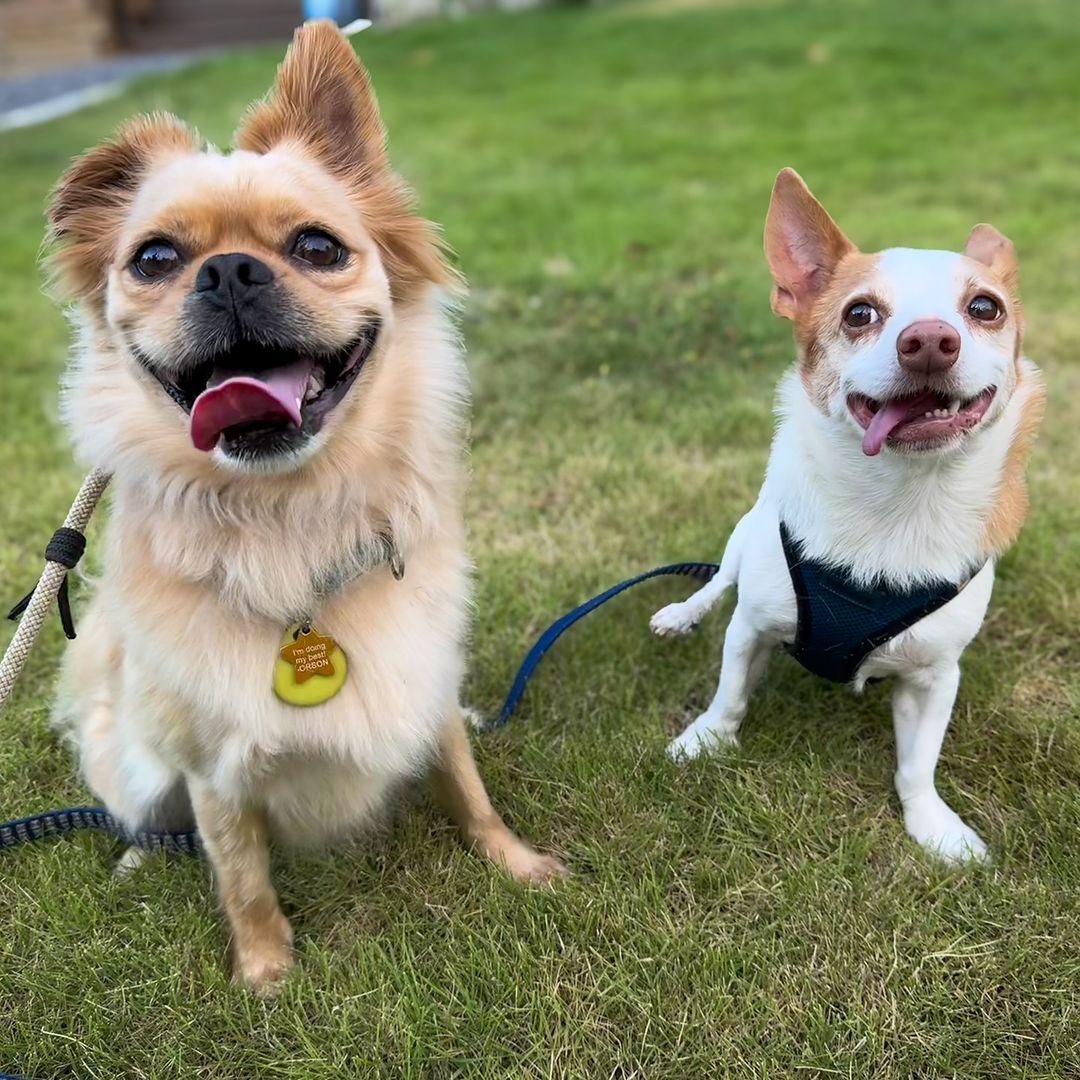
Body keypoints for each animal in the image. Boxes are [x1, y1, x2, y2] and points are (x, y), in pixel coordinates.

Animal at [46, 19, 565, 993]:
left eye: (319, 247)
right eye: (154, 260)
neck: (293, 516)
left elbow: (468, 786)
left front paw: (514, 863)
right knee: (139, 808)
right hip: (136, 761)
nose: (228, 272)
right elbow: (241, 873)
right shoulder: (213, 770)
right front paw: (267, 971)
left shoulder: (424, 679)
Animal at [652, 168, 1041, 859]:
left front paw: (932, 824)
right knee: (717, 581)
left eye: (984, 308)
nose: (930, 340)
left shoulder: (935, 678)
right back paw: (682, 612)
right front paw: (705, 741)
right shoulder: (751, 628)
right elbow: (729, 695)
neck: (898, 500)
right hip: (745, 535)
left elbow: (918, 763)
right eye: (860, 313)